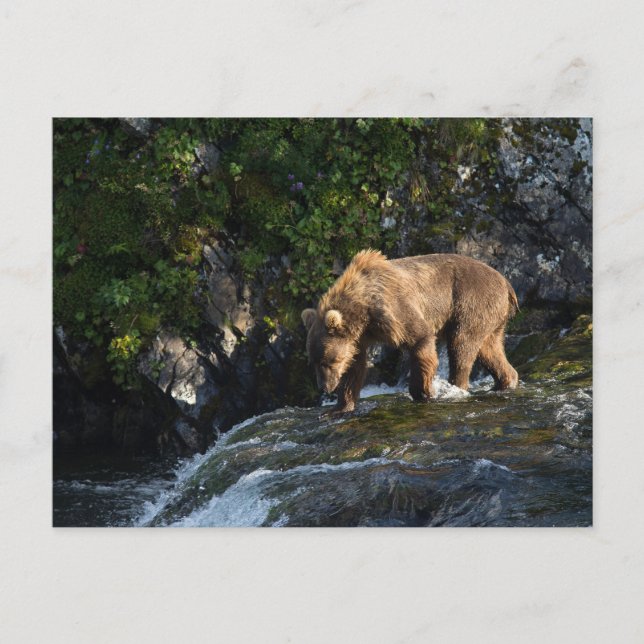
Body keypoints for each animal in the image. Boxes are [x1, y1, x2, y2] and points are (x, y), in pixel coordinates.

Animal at [301, 250, 519, 414]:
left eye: (328, 361)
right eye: (313, 362)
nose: (324, 387)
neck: (363, 311)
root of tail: (506, 282)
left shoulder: (394, 310)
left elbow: (420, 339)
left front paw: (422, 391)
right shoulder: (360, 337)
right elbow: (354, 366)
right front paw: (338, 407)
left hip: (470, 302)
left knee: (461, 346)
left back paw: (457, 387)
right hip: (492, 318)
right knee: (489, 350)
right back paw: (506, 380)